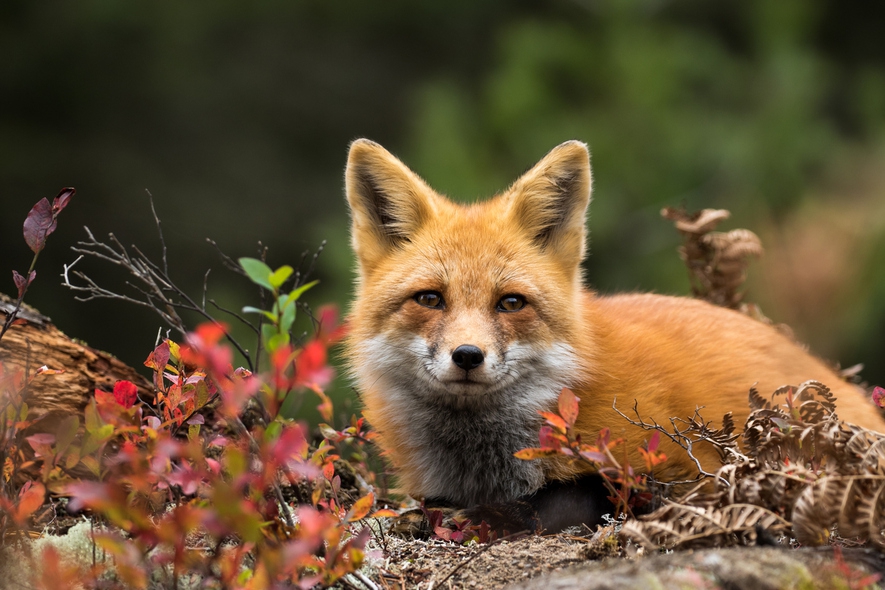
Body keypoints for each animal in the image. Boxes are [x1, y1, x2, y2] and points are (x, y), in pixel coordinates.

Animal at [342, 141, 884, 536]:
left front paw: (485, 518)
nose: (468, 356)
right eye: (430, 299)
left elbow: (564, 499)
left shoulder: (686, 474)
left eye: (511, 303)